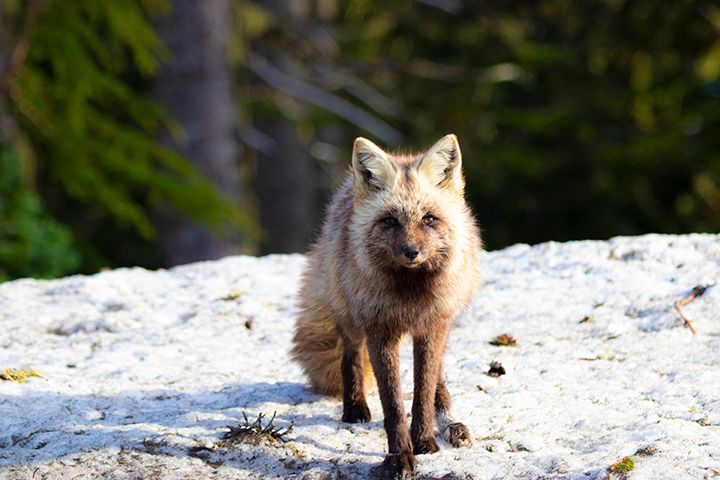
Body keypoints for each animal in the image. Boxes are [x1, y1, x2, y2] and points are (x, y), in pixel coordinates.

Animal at [291, 134, 482, 478]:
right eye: (390, 221)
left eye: (428, 219)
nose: (411, 252)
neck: (410, 297)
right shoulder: (380, 331)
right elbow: (392, 402)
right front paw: (399, 456)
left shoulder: (432, 327)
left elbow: (423, 391)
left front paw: (425, 441)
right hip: (352, 320)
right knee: (350, 356)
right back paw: (355, 407)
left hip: (443, 327)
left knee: (438, 377)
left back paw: (449, 422)